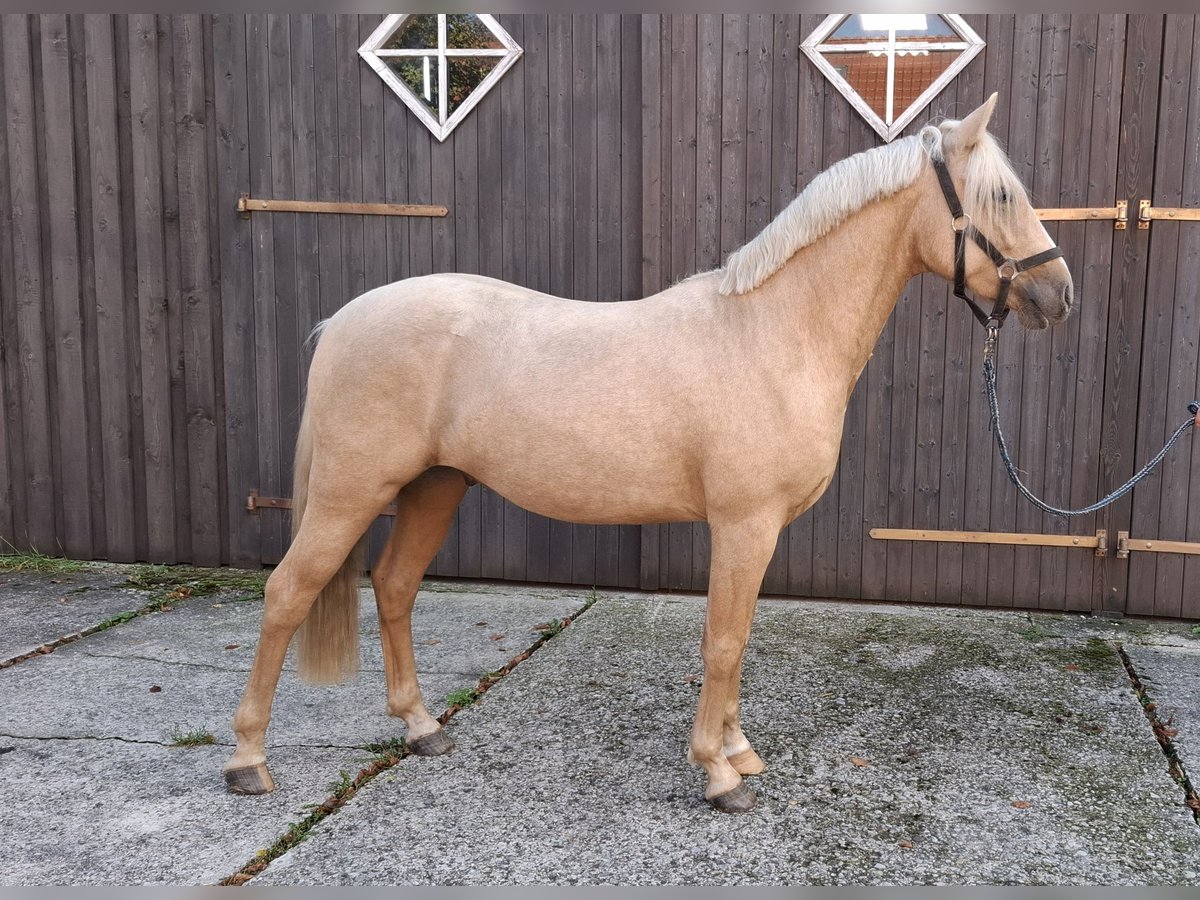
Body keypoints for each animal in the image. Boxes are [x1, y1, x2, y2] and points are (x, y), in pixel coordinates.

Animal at [229, 93, 1075, 816]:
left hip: (437, 485)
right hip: (351, 491)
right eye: (1002, 198)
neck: (773, 334)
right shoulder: (742, 524)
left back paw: (422, 728)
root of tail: (342, 320)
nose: (1060, 296)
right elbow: (723, 642)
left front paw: (739, 749)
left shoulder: (758, 532)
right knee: (287, 593)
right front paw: (718, 773)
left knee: (395, 586)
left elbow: (740, 639)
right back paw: (248, 761)